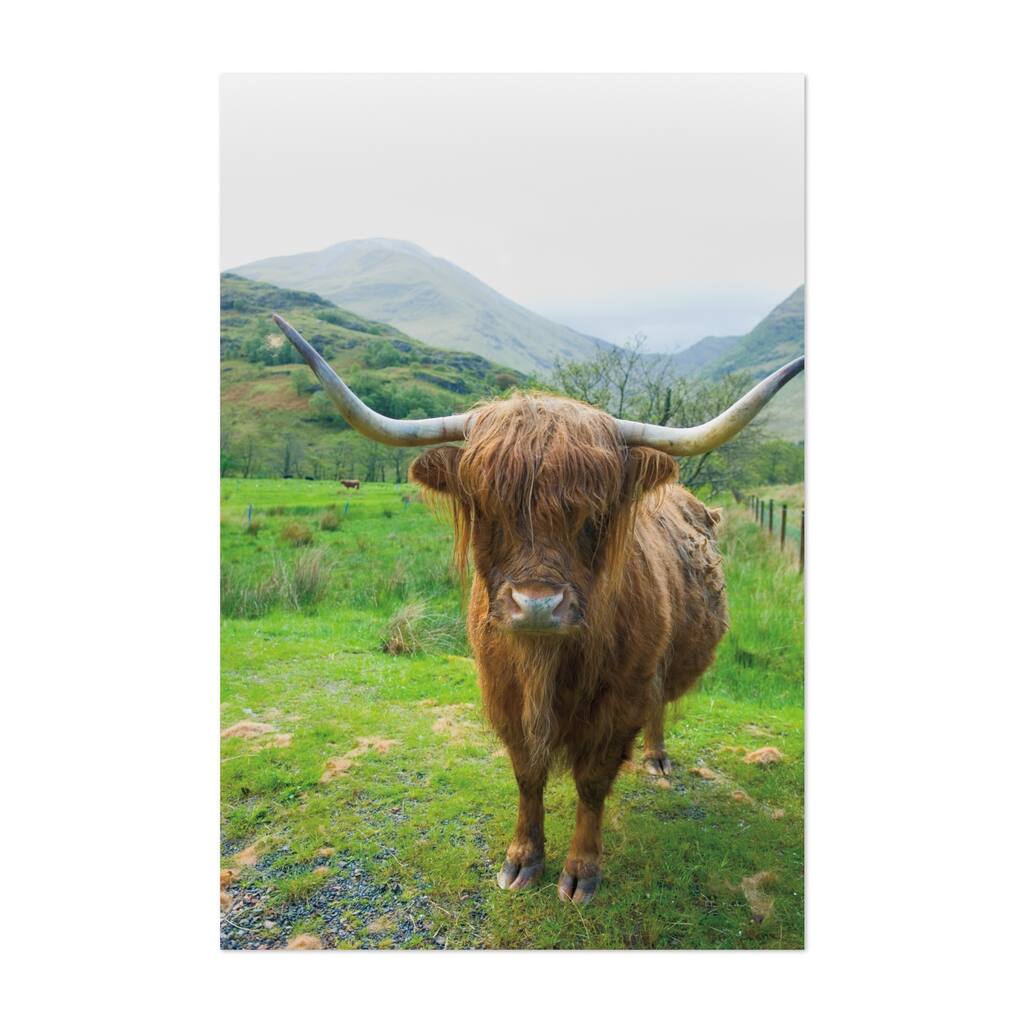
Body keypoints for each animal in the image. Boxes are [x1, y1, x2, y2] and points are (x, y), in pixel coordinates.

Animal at [271, 313, 803, 906]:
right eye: (487, 506)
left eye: (593, 512)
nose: (538, 605)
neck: (546, 663)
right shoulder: (502, 691)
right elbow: (527, 773)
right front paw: (523, 858)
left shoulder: (619, 700)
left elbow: (592, 783)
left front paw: (580, 871)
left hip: (658, 667)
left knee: (659, 703)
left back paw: (657, 758)